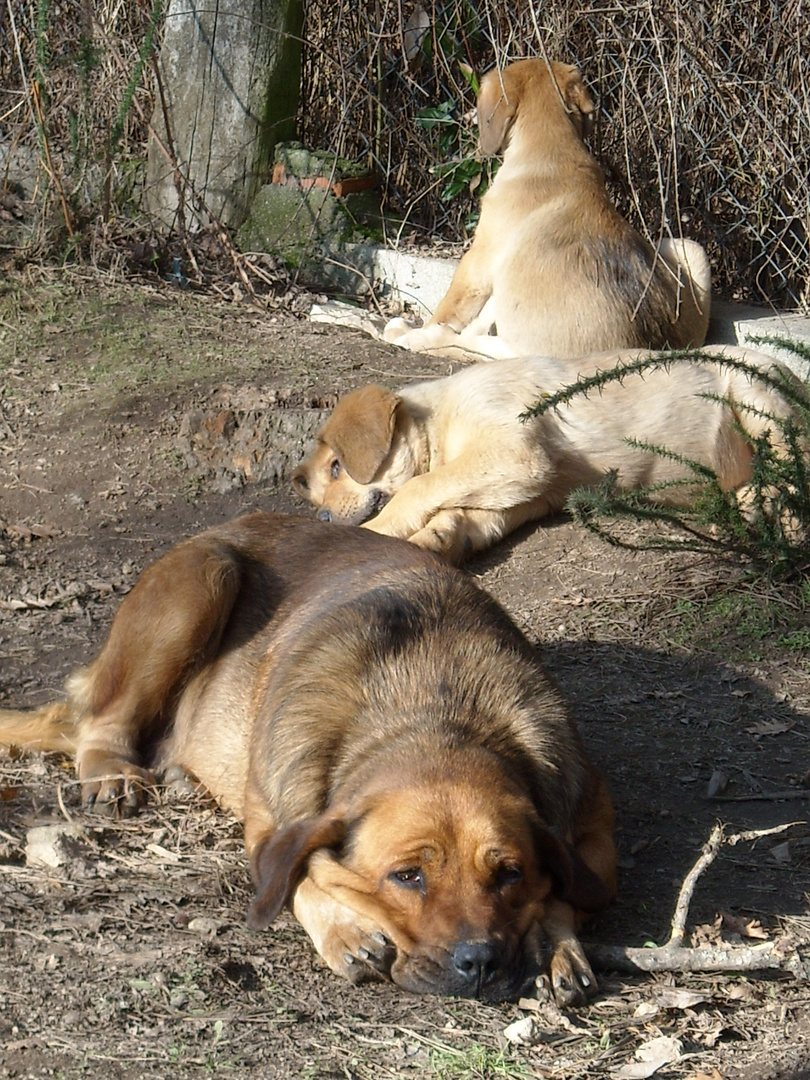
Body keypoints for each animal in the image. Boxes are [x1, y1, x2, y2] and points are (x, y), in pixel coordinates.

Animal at [1, 514, 613, 1002]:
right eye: (408, 876)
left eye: (509, 873)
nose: (479, 962)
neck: (433, 711)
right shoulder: (273, 821)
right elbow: (298, 870)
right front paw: (343, 928)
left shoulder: (592, 826)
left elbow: (568, 889)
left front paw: (554, 944)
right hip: (203, 576)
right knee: (98, 723)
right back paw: (111, 772)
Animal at [291, 345, 799, 565]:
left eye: (337, 467)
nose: (320, 521)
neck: (438, 424)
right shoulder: (529, 492)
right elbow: (463, 513)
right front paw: (438, 538)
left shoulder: (516, 452)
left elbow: (419, 487)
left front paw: (376, 533)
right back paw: (747, 507)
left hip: (758, 401)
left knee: (793, 477)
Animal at [384, 58, 708, 362]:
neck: (553, 147)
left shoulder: (477, 263)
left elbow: (447, 310)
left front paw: (418, 329)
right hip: (686, 247)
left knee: (460, 340)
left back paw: (407, 333)